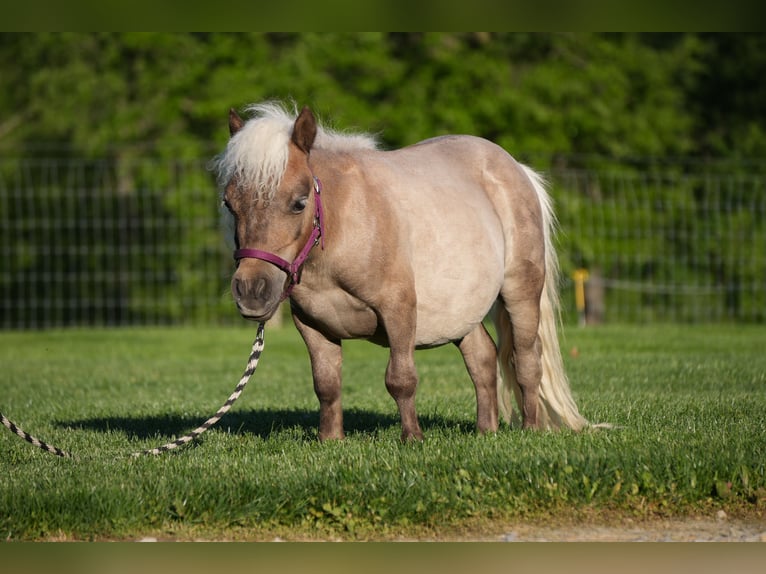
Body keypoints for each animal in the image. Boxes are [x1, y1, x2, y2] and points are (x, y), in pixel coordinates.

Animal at [213, 101, 589, 441]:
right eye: (230, 204)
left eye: (299, 202)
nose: (251, 292)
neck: (342, 227)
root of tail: (517, 168)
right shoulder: (312, 323)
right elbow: (326, 384)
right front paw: (331, 440)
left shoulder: (399, 308)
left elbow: (400, 379)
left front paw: (413, 438)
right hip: (462, 311)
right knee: (483, 358)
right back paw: (486, 432)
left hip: (520, 292)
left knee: (526, 361)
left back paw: (531, 430)